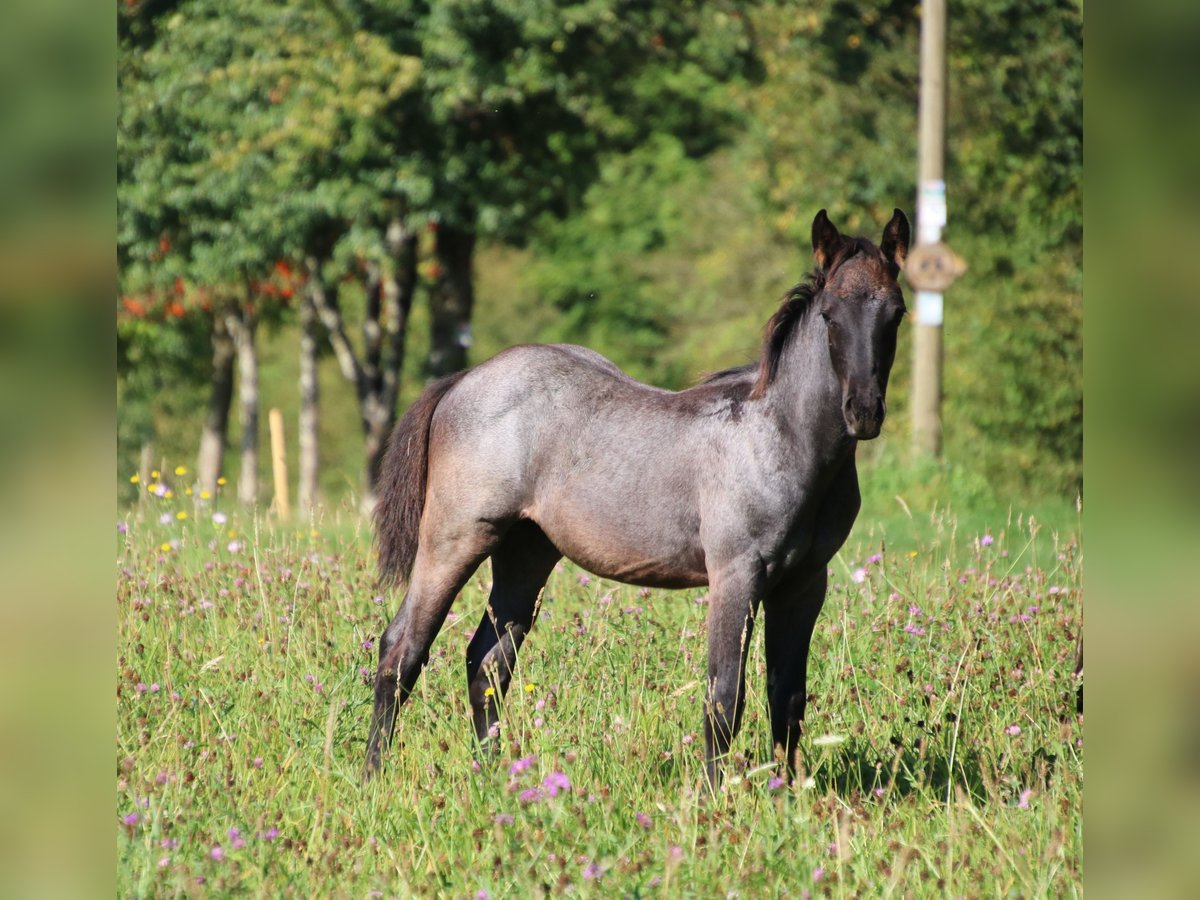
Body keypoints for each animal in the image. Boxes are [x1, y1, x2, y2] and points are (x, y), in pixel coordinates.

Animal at [364, 207, 907, 787]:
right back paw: (375, 773)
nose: (864, 412)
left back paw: (493, 776)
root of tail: (465, 378)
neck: (781, 435)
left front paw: (783, 792)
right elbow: (724, 696)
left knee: (487, 662)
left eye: (895, 314)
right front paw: (715, 797)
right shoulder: (736, 574)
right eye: (829, 315)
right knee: (402, 650)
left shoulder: (804, 583)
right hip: (456, 539)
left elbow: (787, 698)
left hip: (526, 553)